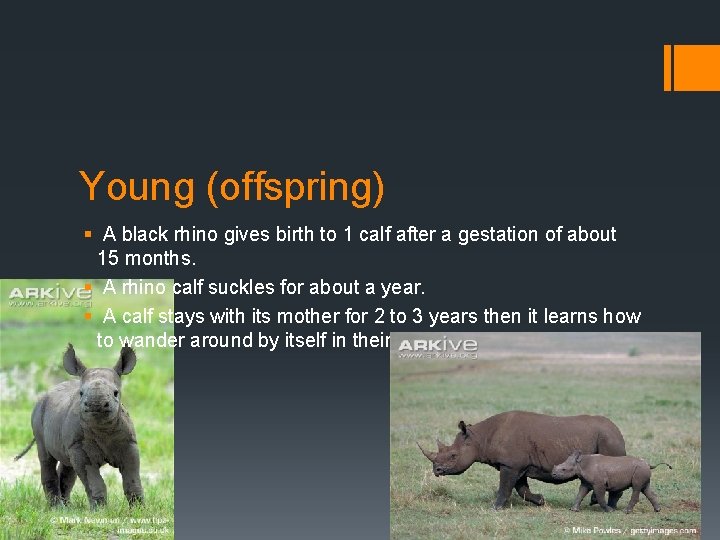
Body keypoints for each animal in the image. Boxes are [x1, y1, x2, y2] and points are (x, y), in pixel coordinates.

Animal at [15, 344, 144, 508]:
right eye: (81, 393)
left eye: (116, 393)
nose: (96, 404)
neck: (103, 428)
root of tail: (47, 393)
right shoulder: (79, 448)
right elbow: (94, 481)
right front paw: (100, 510)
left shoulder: (128, 444)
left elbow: (132, 479)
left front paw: (139, 509)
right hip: (38, 414)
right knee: (46, 457)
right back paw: (57, 508)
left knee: (68, 466)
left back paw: (68, 507)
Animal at [418, 411, 626, 509]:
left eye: (453, 456)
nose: (437, 470)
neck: (478, 438)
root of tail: (617, 428)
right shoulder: (518, 465)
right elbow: (521, 489)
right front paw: (540, 501)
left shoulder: (510, 465)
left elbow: (505, 487)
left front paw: (494, 508)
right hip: (607, 436)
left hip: (608, 438)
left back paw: (606, 504)